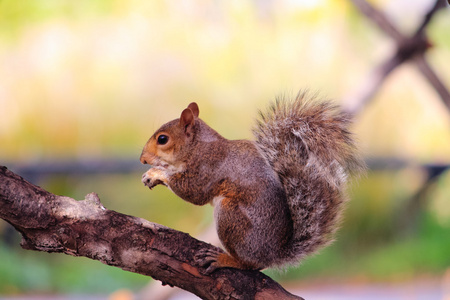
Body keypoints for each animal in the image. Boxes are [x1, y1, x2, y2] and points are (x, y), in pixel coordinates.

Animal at [141, 92, 366, 274]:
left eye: (162, 139)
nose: (142, 159)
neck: (198, 146)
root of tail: (274, 254)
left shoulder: (207, 169)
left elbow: (193, 192)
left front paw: (158, 173)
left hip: (230, 215)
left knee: (250, 265)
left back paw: (224, 259)